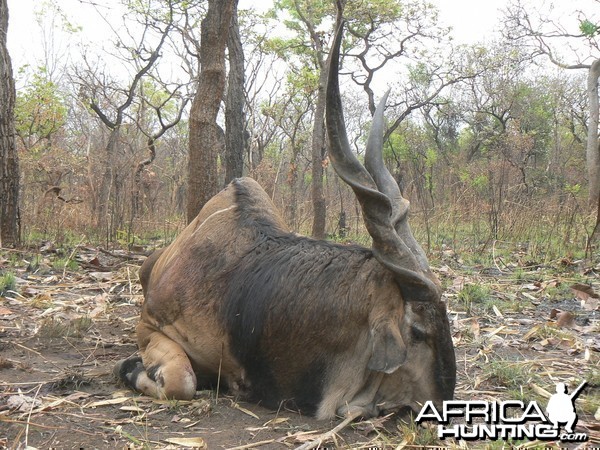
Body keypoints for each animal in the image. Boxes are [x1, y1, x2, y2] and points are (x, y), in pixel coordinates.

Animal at [115, 21, 458, 420]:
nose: (443, 404)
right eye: (417, 331)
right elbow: (180, 382)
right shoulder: (150, 326)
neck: (235, 290)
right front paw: (130, 367)